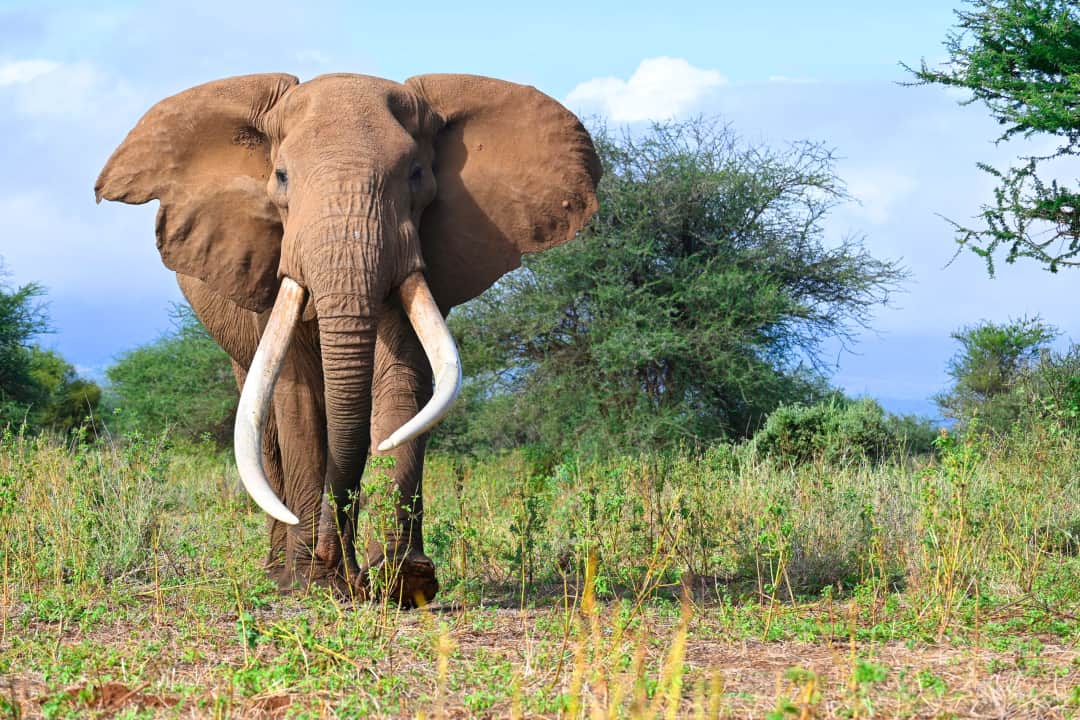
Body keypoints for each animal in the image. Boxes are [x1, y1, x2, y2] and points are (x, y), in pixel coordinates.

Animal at [96, 73, 600, 606]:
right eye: (281, 177)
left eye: (416, 175)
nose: (327, 560)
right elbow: (297, 398)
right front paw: (310, 583)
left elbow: (402, 383)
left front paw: (403, 579)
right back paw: (280, 573)